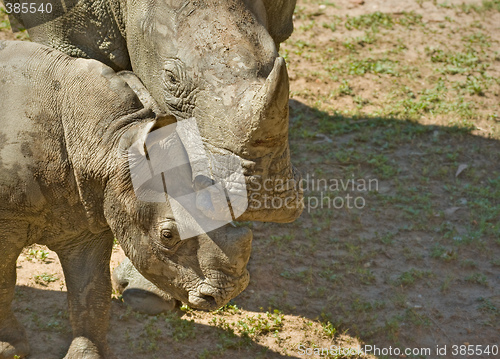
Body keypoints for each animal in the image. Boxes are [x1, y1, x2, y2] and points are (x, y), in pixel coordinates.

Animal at [0, 40, 256, 359]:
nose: (227, 292)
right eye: (167, 235)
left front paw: (87, 355)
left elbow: (91, 292)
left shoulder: (87, 212)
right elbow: (4, 282)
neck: (108, 142)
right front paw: (10, 347)